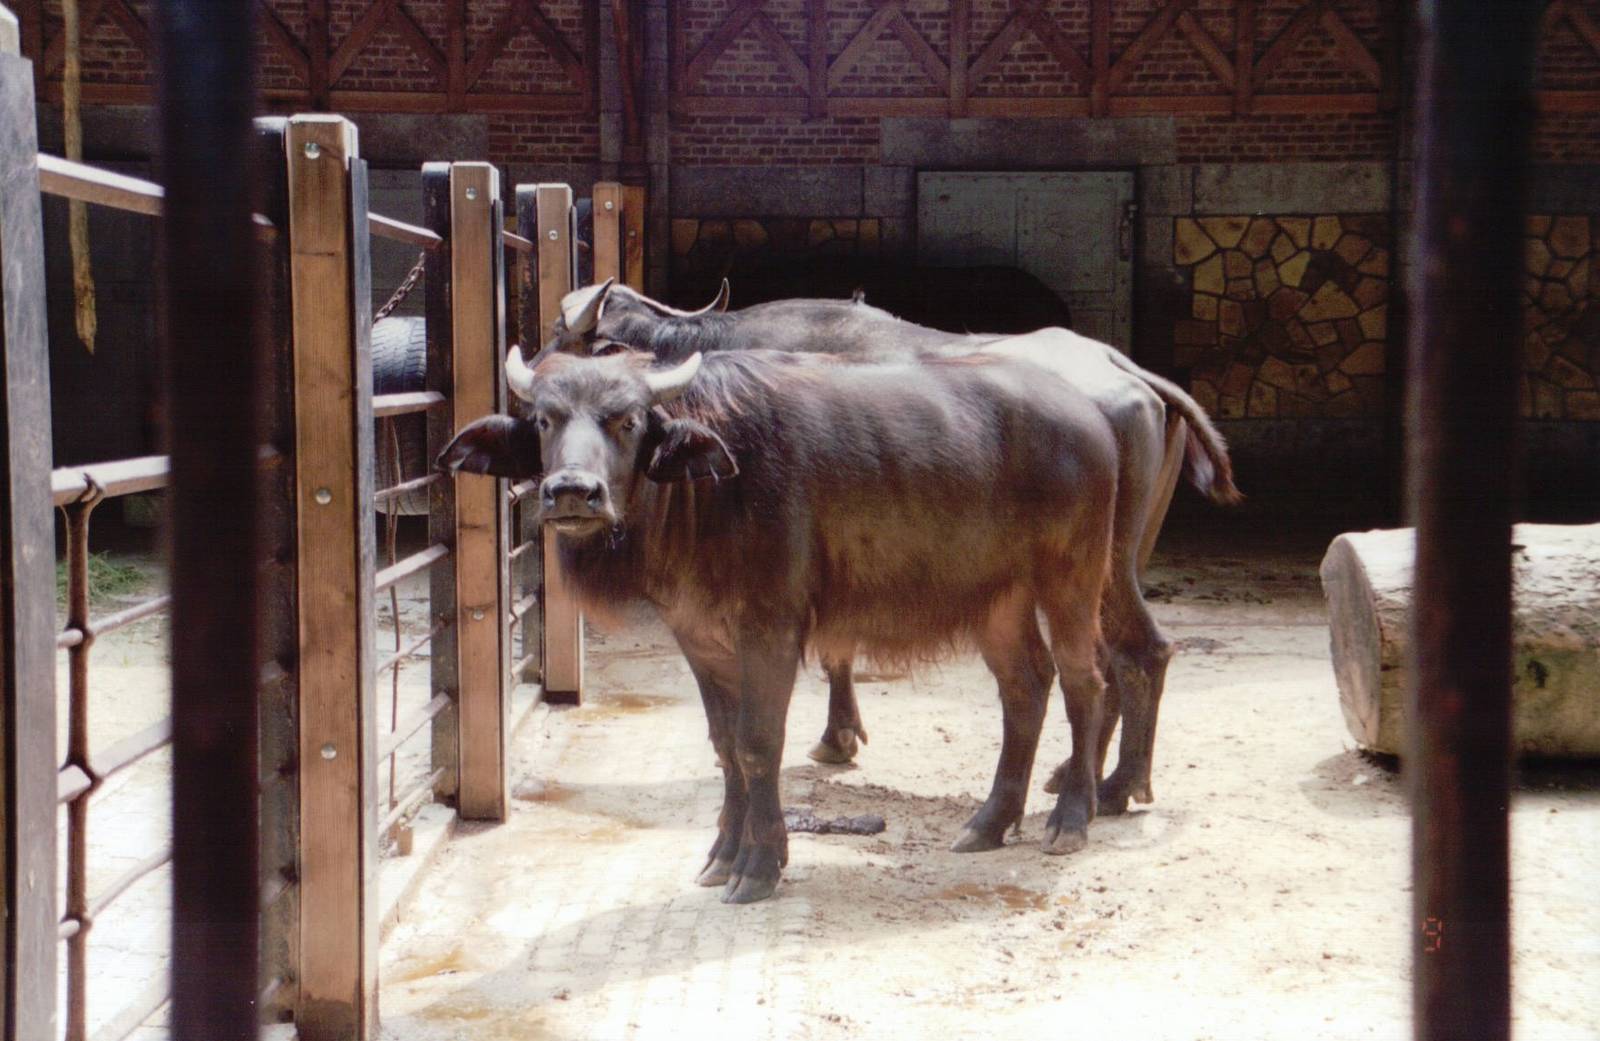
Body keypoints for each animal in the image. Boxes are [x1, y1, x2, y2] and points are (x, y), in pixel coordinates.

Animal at [441, 346, 1124, 902]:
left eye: (627, 419)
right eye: (544, 419)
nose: (572, 492)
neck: (711, 488)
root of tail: (1089, 414)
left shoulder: (770, 631)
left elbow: (758, 743)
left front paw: (760, 864)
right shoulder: (699, 638)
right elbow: (724, 746)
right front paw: (722, 854)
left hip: (1072, 577)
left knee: (1084, 681)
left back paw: (1070, 818)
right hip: (997, 600)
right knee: (1025, 687)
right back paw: (989, 822)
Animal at [528, 279, 1241, 815]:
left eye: (561, 333)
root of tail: (1127, 373)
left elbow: (833, 652)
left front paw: (836, 736)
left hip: (1100, 564)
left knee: (1134, 652)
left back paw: (1113, 786)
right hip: (1114, 563)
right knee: (1116, 657)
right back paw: (1082, 774)